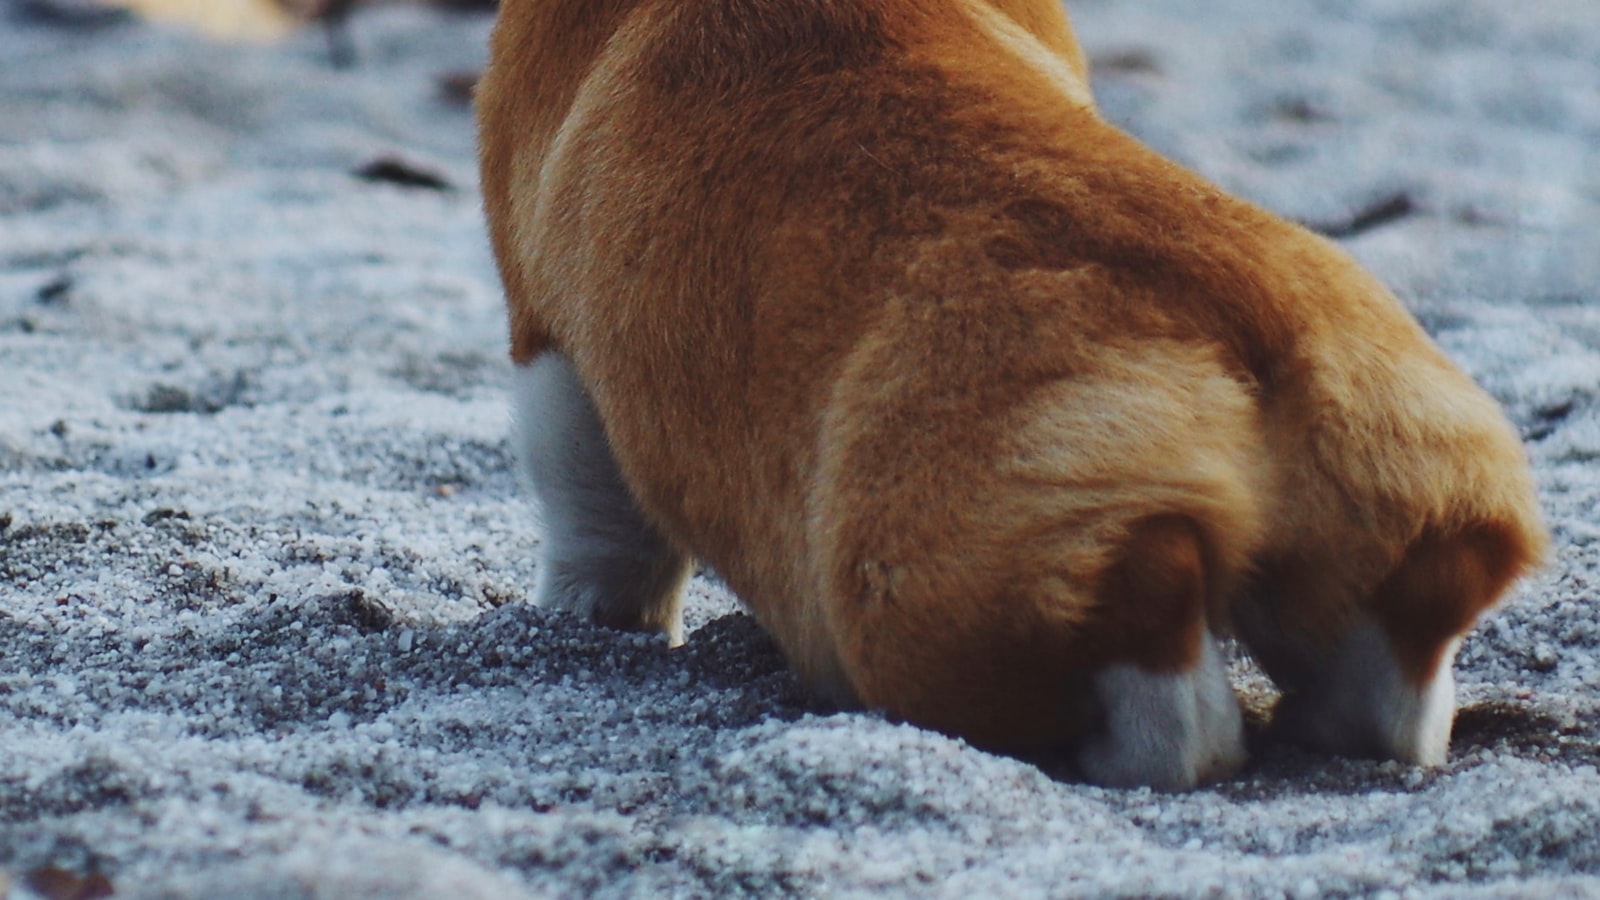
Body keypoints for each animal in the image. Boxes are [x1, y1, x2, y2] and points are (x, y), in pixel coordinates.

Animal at [476, 0, 1548, 784]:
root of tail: (1251, 312)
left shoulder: (548, 341)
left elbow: (597, 519)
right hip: (1415, 486)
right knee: (1405, 643)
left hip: (939, 587)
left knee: (1156, 681)